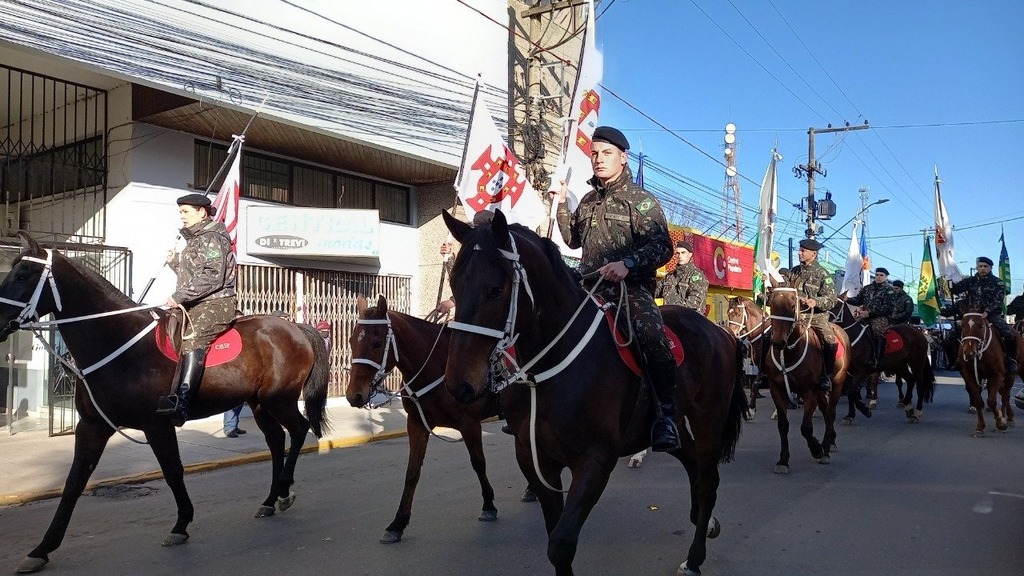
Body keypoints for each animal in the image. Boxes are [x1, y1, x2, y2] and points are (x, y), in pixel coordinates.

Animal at [0, 231, 327, 569]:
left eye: (23, 274)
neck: (118, 343)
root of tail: (296, 327)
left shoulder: (156, 425)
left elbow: (172, 471)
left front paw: (181, 524)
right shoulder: (93, 426)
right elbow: (74, 482)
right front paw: (41, 549)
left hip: (280, 400)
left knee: (299, 430)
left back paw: (285, 489)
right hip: (260, 403)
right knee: (276, 440)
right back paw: (271, 499)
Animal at [346, 293, 520, 541]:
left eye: (377, 343)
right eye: (352, 341)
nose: (354, 395)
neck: (436, 365)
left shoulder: (470, 424)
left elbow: (478, 463)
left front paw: (488, 505)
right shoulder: (416, 424)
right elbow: (412, 472)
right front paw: (398, 523)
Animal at [438, 211, 745, 573]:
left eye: (496, 289)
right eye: (454, 285)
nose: (459, 384)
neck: (547, 372)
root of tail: (722, 333)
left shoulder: (595, 461)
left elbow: (560, 544)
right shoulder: (535, 460)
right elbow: (553, 532)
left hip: (709, 423)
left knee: (708, 481)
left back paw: (695, 557)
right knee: (693, 465)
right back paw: (703, 520)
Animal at [765, 280, 851, 471]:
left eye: (792, 305)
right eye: (771, 303)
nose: (778, 342)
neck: (789, 352)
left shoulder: (809, 391)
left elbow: (806, 427)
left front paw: (817, 449)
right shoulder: (776, 389)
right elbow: (783, 425)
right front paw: (783, 460)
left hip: (836, 384)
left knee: (831, 413)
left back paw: (825, 449)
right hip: (820, 391)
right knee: (826, 411)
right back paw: (830, 441)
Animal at [950, 303, 1015, 432]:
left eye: (980, 325)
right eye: (962, 325)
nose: (969, 352)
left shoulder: (996, 374)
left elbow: (991, 401)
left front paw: (1000, 421)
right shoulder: (969, 374)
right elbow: (978, 400)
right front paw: (980, 425)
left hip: (1010, 376)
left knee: (1006, 395)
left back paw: (1007, 416)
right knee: (1003, 393)